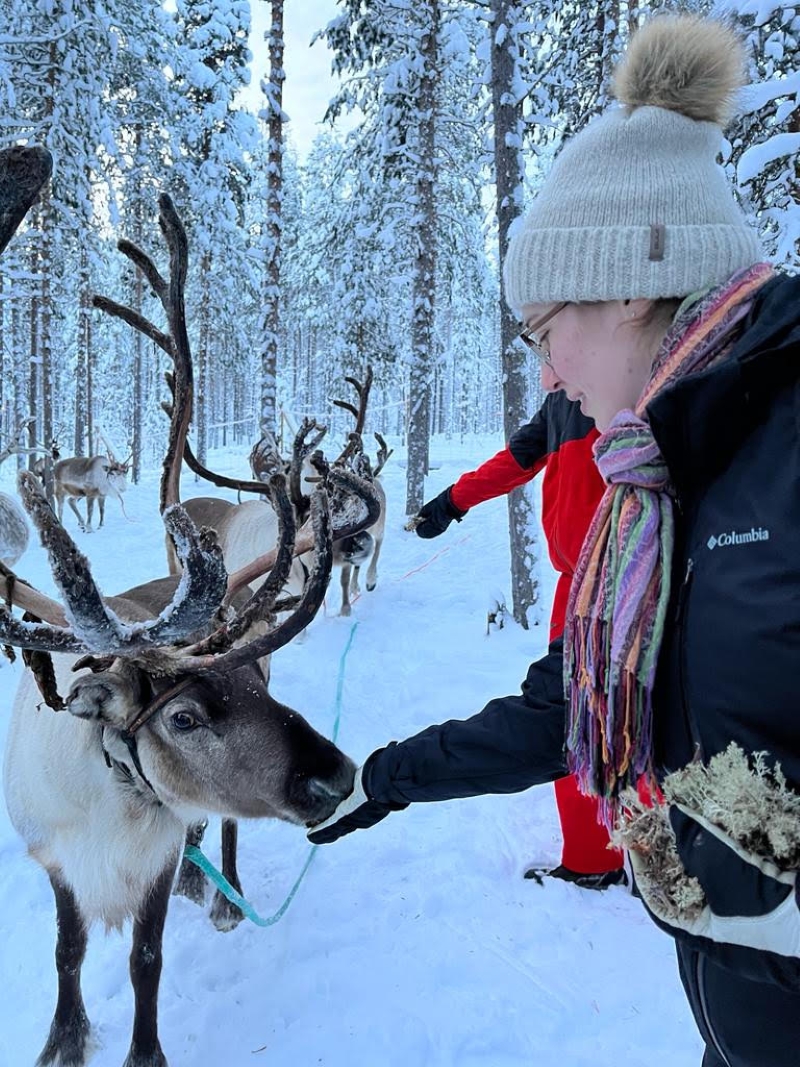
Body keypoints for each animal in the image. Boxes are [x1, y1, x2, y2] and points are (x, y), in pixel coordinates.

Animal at [1, 194, 380, 1067]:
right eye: (181, 715)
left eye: (255, 678)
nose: (338, 776)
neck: (113, 794)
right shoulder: (54, 858)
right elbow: (69, 950)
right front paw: (64, 1037)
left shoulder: (156, 849)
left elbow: (146, 957)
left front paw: (145, 1052)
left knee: (226, 830)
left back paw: (221, 894)